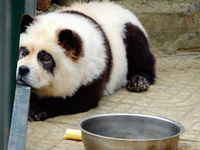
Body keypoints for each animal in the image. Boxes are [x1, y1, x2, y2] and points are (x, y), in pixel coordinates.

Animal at [16, 2, 156, 120]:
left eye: (45, 58)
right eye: (22, 53)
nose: (22, 70)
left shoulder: (96, 67)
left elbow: (80, 98)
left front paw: (36, 110)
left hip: (127, 32)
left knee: (139, 52)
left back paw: (138, 81)